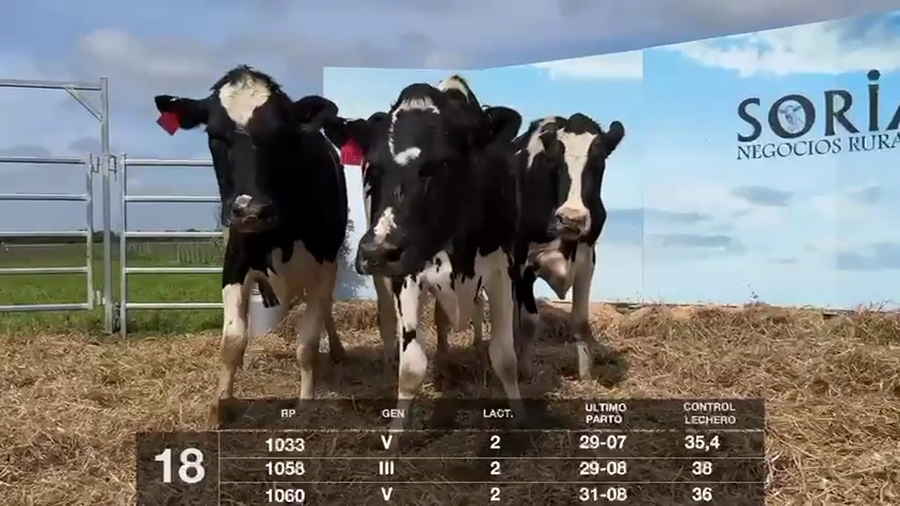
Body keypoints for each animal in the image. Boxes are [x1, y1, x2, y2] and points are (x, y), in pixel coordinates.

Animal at [152, 65, 350, 420]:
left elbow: (307, 345)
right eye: (214, 136)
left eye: (280, 135)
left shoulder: (323, 266)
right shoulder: (234, 261)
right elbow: (232, 339)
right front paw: (221, 404)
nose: (251, 210)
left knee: (326, 309)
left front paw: (305, 402)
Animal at [323, 77, 526, 443]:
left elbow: (504, 355)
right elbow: (412, 365)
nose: (377, 251)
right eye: (373, 166)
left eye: (441, 163)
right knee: (389, 317)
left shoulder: (502, 268)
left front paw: (520, 420)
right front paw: (395, 435)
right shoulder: (407, 274)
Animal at [510, 114, 625, 381]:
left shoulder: (587, 261)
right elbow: (529, 322)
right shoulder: (522, 261)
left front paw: (586, 376)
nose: (572, 219)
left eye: (599, 162)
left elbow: (581, 323)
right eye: (553, 162)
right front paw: (524, 372)